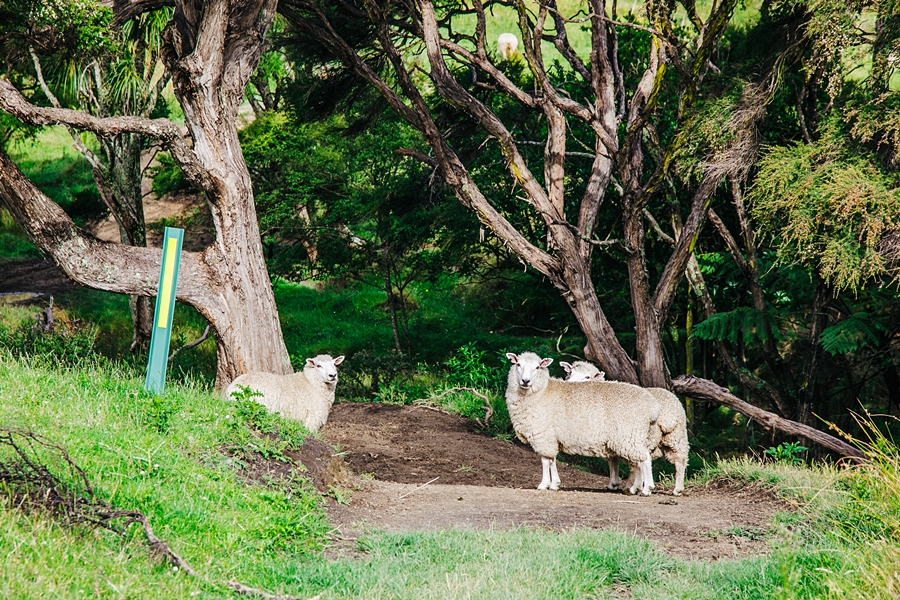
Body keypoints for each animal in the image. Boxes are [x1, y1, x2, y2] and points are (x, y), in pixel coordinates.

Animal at [506, 352, 660, 496]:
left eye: (537, 367)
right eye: (518, 364)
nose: (525, 381)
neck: (542, 391)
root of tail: (652, 406)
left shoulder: (542, 434)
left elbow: (545, 461)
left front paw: (544, 484)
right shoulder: (551, 436)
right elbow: (552, 460)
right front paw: (554, 484)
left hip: (628, 436)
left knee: (645, 459)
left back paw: (646, 488)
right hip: (636, 436)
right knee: (640, 461)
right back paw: (636, 488)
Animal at [564, 360, 688, 496]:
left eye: (587, 377)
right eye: (570, 372)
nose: (570, 385)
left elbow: (613, 461)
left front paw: (614, 484)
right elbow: (615, 460)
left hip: (637, 436)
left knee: (643, 461)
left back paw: (641, 488)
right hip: (675, 434)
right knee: (679, 460)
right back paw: (677, 488)